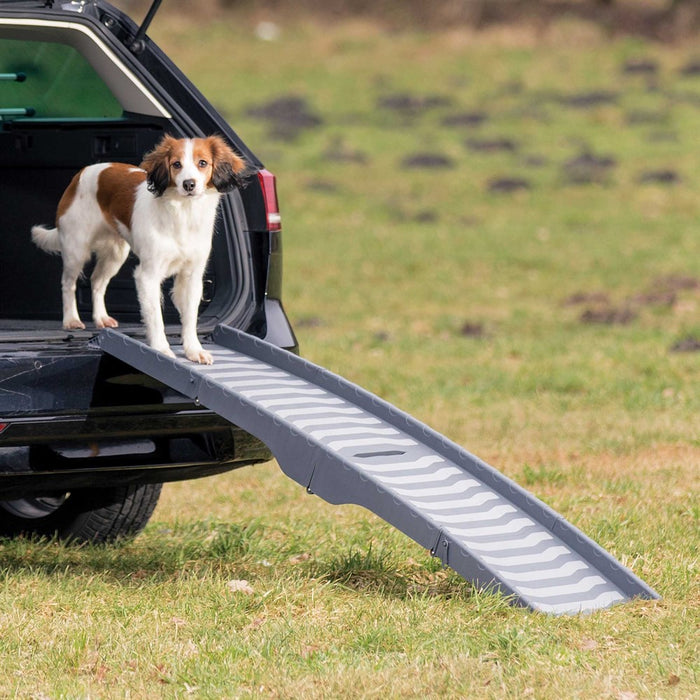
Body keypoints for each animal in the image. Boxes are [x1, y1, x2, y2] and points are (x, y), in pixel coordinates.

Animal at [32, 136, 246, 366]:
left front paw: (193, 350)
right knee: (68, 284)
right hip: (76, 249)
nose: (189, 184)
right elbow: (156, 317)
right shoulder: (148, 275)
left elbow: (190, 317)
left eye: (203, 163)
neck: (182, 213)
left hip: (115, 254)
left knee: (97, 281)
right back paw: (71, 319)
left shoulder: (192, 276)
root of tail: (81, 173)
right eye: (176, 164)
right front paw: (161, 349)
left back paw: (100, 318)